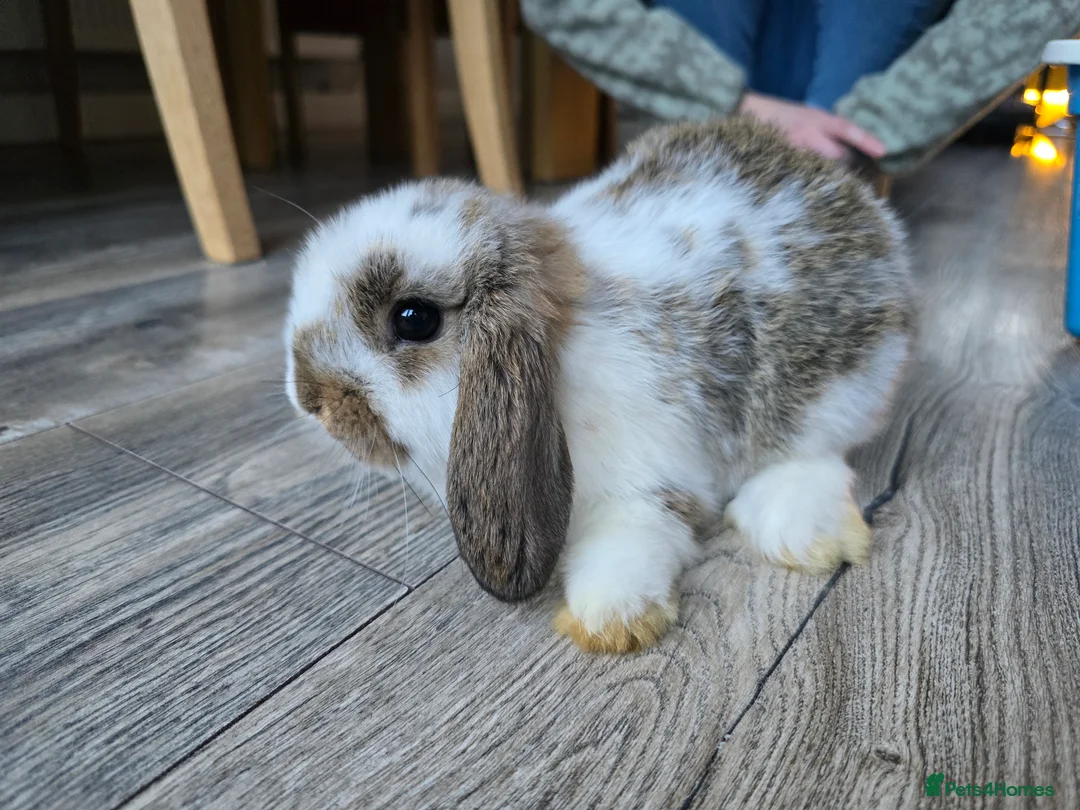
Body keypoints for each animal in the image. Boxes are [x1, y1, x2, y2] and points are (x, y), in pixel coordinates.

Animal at [284, 117, 914, 654]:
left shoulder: (651, 479)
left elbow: (633, 536)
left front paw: (609, 620)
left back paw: (803, 534)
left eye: (413, 319)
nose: (310, 400)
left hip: (839, 395)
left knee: (819, 457)